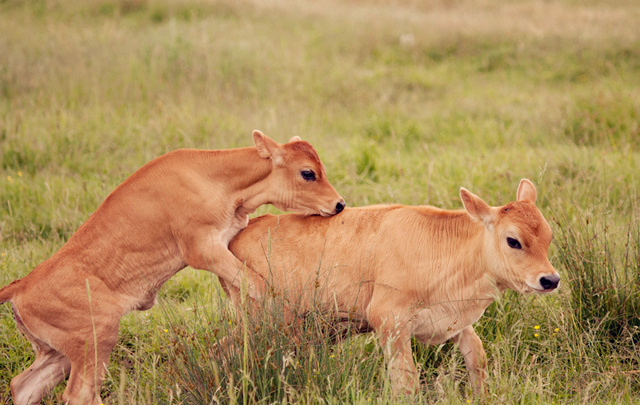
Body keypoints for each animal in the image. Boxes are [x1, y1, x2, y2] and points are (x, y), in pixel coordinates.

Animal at [0, 130, 344, 404]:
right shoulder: (203, 250)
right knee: (79, 395)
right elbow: (258, 283)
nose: (339, 203)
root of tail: (22, 284)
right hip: (97, 340)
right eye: (308, 173)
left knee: (23, 385)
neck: (217, 179)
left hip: (58, 355)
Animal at [228, 180, 556, 394]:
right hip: (259, 323)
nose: (550, 280)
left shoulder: (452, 318)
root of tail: (246, 229)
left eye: (549, 236)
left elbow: (477, 358)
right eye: (513, 241)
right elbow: (406, 381)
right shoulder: (389, 321)